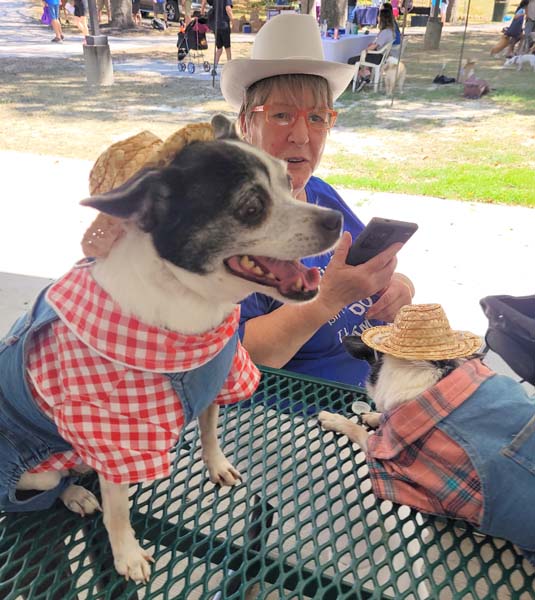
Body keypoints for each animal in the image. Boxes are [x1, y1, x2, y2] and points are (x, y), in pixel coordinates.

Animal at [1, 115, 344, 584]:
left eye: (289, 182)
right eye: (251, 207)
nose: (337, 219)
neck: (191, 304)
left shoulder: (218, 381)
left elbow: (209, 430)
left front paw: (217, 465)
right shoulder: (116, 436)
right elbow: (117, 511)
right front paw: (127, 554)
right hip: (35, 470)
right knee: (52, 484)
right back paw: (77, 495)